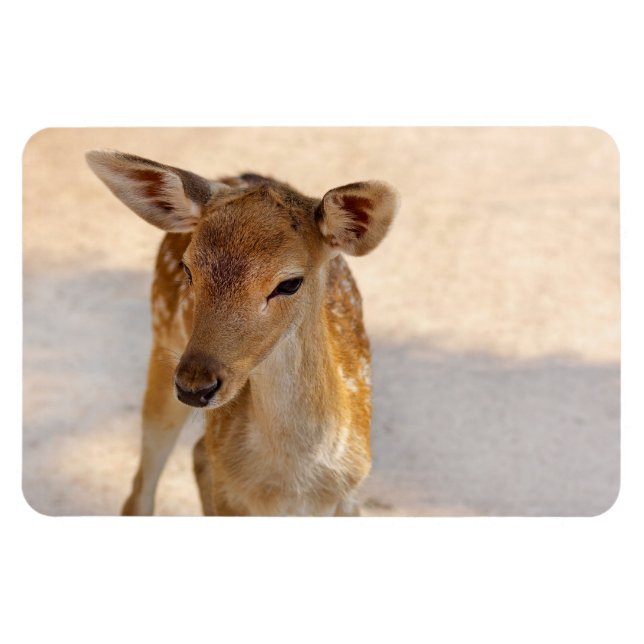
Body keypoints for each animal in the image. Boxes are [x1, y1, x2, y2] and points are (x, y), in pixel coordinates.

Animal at [86, 149, 400, 516]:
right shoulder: (230, 496)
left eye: (290, 283)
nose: (195, 386)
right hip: (162, 341)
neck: (292, 487)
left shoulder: (349, 498)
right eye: (187, 269)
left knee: (197, 452)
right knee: (142, 489)